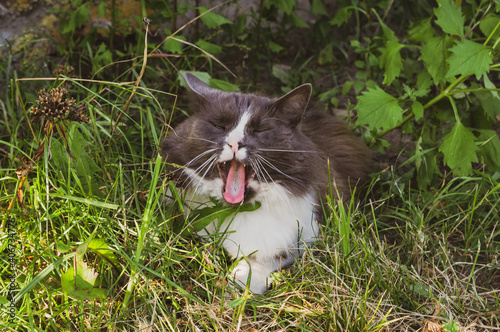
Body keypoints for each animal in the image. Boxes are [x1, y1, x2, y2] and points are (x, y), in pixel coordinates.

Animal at [160, 74, 372, 294]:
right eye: (219, 126)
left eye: (259, 130)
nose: (235, 143)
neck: (231, 211)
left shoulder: (300, 237)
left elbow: (254, 268)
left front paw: (232, 293)